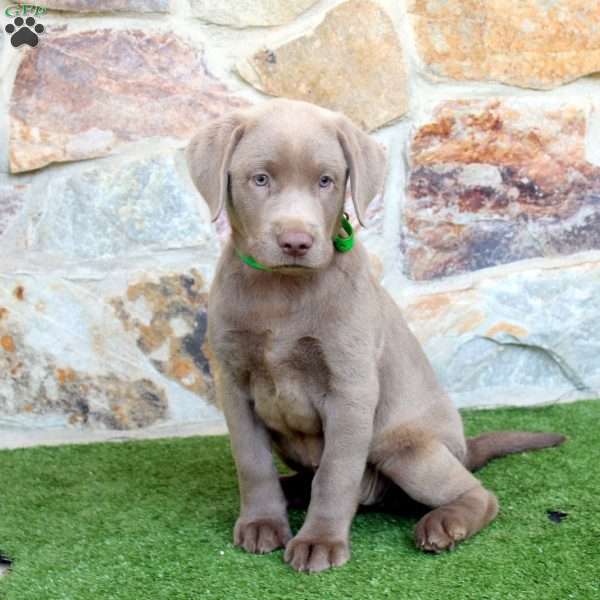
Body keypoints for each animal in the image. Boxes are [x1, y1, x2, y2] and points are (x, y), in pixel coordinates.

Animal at [185, 98, 564, 572]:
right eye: (260, 179)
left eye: (326, 180)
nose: (296, 242)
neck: (283, 291)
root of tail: (462, 449)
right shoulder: (234, 385)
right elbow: (252, 463)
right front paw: (262, 523)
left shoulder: (351, 389)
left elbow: (335, 473)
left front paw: (320, 541)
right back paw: (291, 490)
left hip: (407, 450)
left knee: (479, 494)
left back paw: (445, 523)